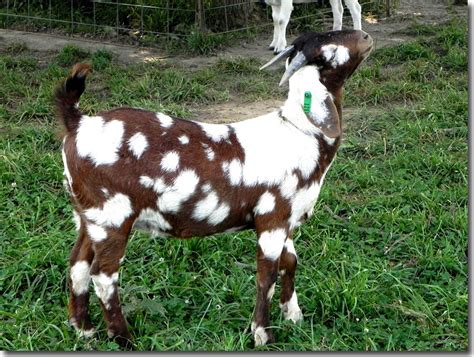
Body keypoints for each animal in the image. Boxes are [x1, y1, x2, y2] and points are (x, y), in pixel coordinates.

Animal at [55, 29, 372, 346]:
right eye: (329, 49)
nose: (366, 36)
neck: (300, 131)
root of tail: (78, 123)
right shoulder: (273, 218)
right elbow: (266, 276)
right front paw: (263, 335)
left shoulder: (289, 221)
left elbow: (290, 263)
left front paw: (293, 317)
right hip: (112, 215)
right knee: (103, 275)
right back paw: (123, 338)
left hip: (87, 216)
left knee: (78, 264)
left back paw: (83, 329)